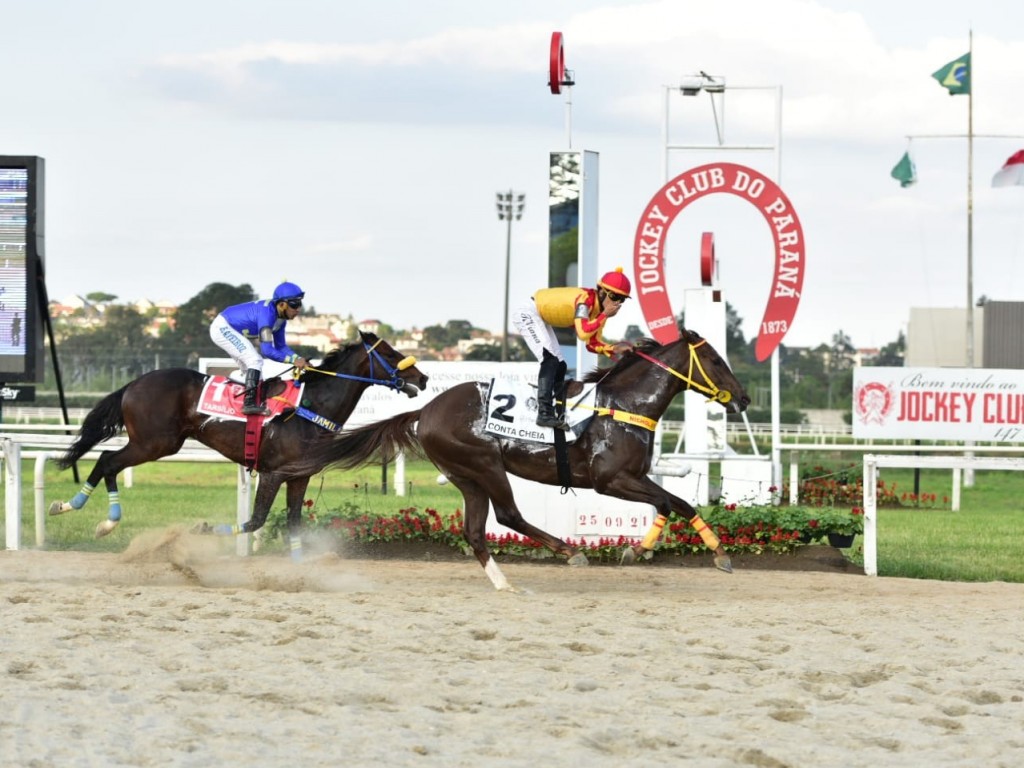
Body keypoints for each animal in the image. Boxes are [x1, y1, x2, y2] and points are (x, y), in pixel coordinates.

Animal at [49, 331, 425, 552]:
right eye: (392, 353)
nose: (422, 377)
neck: (310, 406)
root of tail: (135, 383)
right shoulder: (273, 472)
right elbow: (255, 520)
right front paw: (201, 529)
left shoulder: (299, 476)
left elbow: (294, 524)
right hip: (154, 443)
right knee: (107, 461)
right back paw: (89, 514)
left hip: (157, 443)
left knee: (107, 461)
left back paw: (86, 512)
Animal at [292, 331, 749, 593]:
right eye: (715, 361)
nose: (743, 398)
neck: (623, 406)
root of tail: (426, 409)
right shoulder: (611, 479)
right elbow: (673, 502)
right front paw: (648, 551)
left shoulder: (634, 476)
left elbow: (675, 503)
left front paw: (692, 552)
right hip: (484, 464)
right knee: (508, 516)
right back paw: (568, 551)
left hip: (466, 476)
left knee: (476, 531)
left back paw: (505, 583)